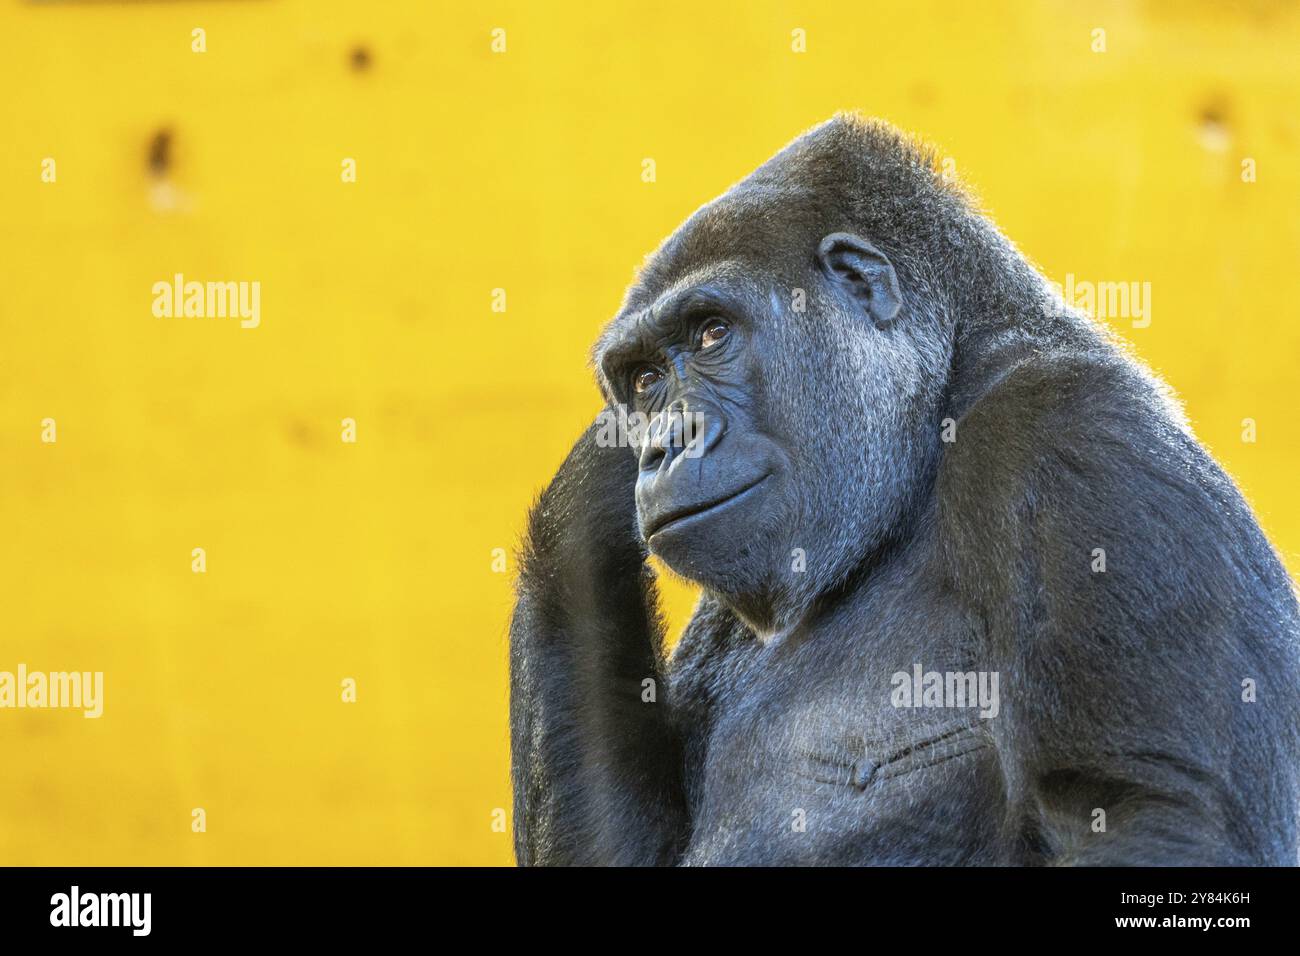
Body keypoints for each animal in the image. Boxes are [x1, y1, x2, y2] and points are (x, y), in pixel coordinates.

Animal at [504, 113, 1300, 868]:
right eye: (642, 381)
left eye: (710, 334)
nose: (665, 442)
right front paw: (585, 503)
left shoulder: (1071, 432)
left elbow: (1160, 817)